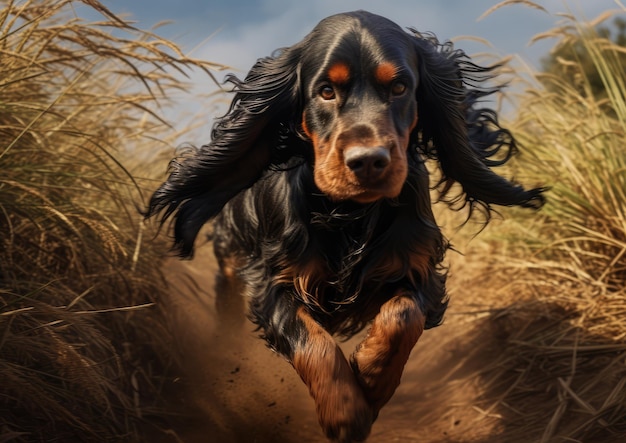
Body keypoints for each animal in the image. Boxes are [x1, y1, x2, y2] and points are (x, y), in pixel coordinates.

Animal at [145, 11, 540, 443]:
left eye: (400, 87)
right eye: (325, 91)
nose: (368, 161)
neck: (350, 214)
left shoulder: (417, 267)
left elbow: (403, 317)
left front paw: (371, 373)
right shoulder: (272, 281)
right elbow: (313, 343)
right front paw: (346, 411)